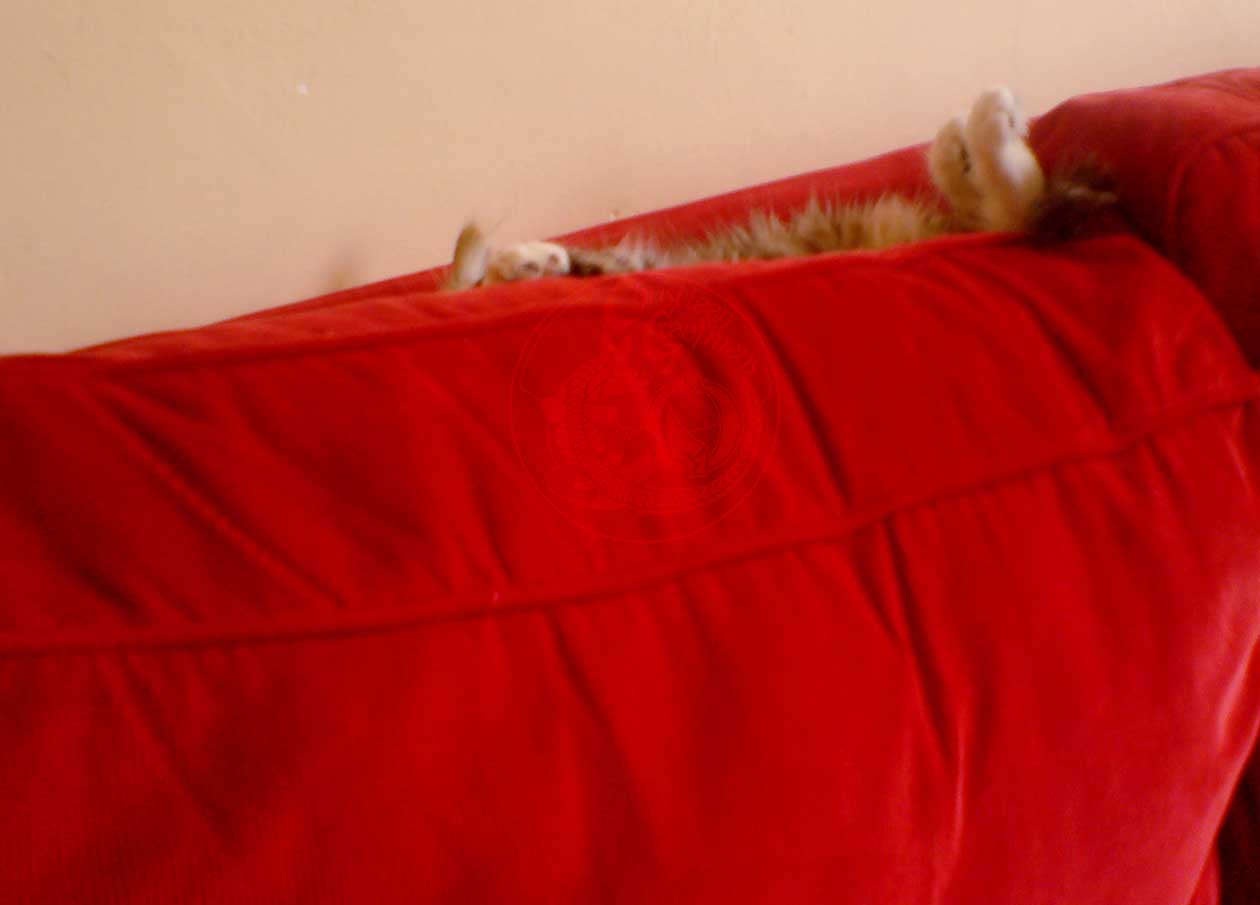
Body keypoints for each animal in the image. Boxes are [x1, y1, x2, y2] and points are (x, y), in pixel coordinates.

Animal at [444, 87, 1116, 291]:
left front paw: (522, 260)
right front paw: (522, 263)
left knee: (1015, 210)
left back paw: (969, 141)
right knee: (1013, 215)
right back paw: (973, 140)